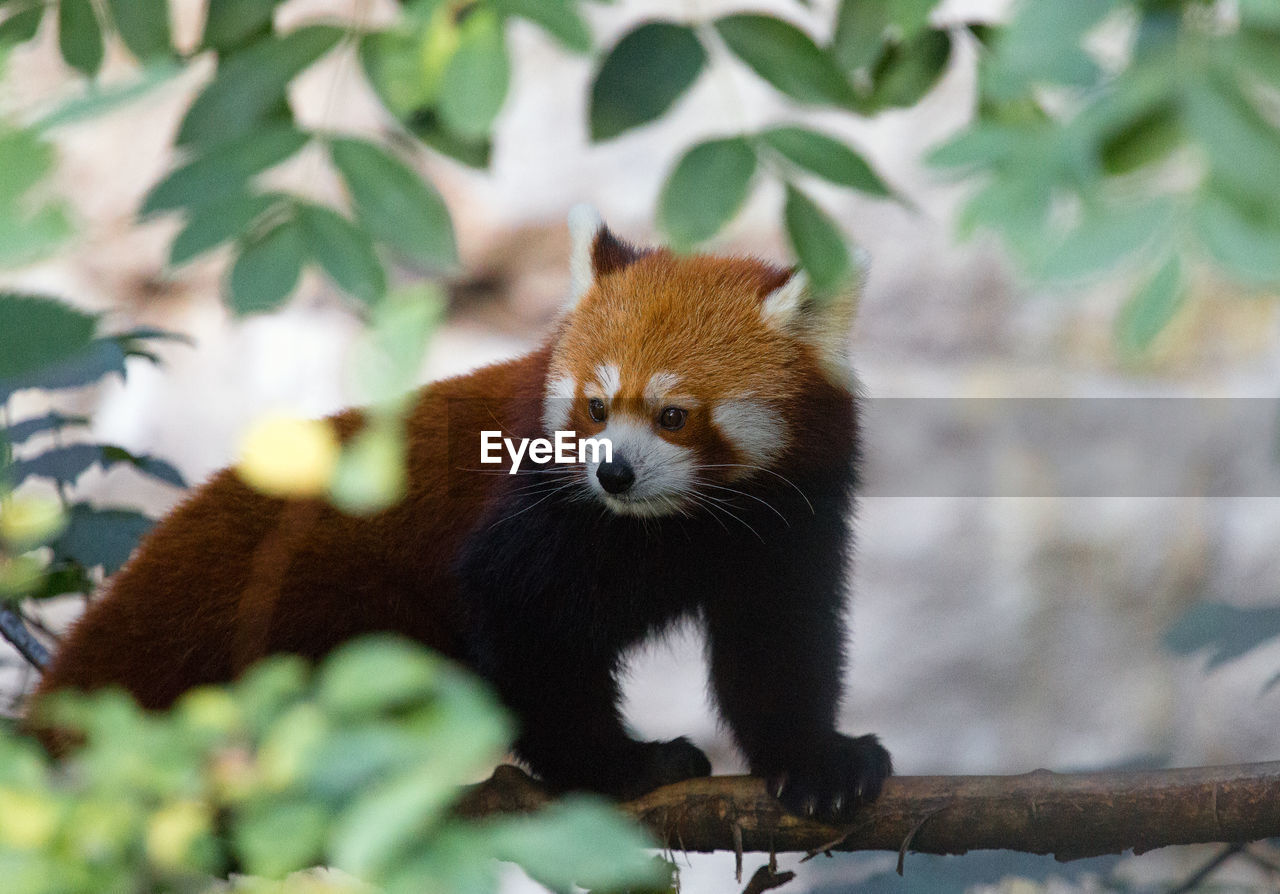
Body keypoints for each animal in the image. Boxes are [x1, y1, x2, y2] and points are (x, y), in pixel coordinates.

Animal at [30, 207, 890, 814]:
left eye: (673, 415)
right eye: (597, 406)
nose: (612, 473)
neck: (674, 524)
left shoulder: (785, 520)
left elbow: (778, 644)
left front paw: (817, 761)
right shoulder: (535, 518)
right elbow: (526, 629)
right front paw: (623, 767)